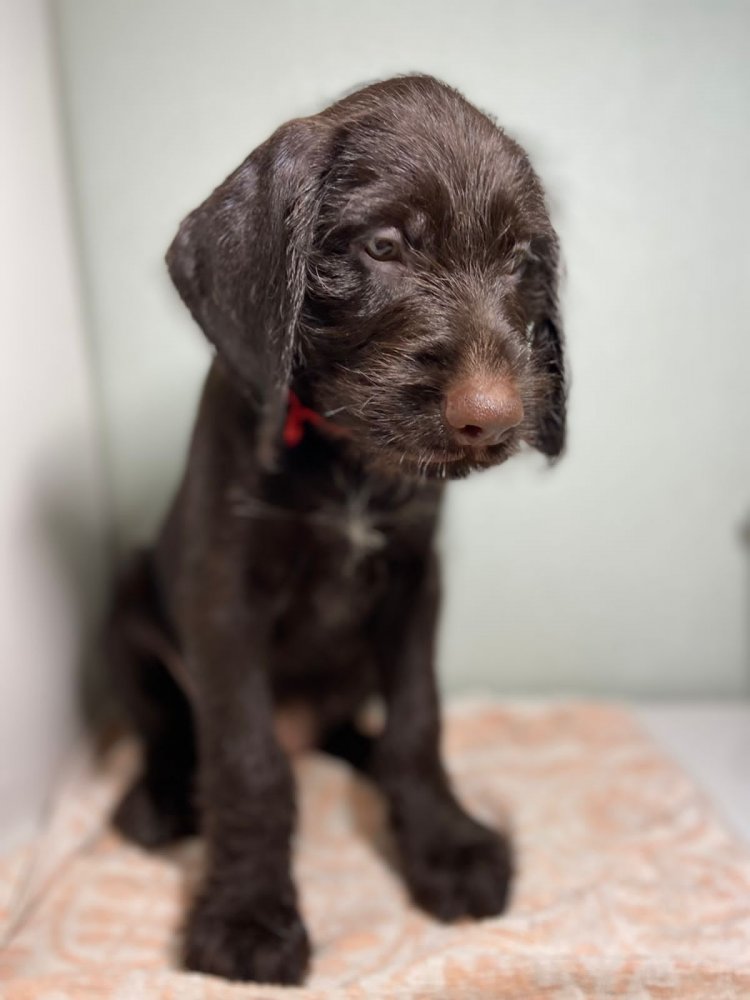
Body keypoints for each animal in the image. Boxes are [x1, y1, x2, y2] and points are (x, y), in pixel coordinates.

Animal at [107, 74, 566, 985]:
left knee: (362, 733)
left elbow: (419, 723)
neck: (348, 462)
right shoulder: (225, 597)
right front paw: (248, 917)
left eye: (520, 262)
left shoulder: (414, 583)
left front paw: (445, 842)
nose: (495, 419)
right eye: (384, 247)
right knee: (170, 725)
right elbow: (246, 759)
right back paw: (161, 796)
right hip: (131, 601)